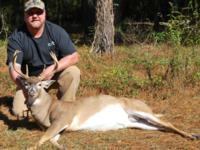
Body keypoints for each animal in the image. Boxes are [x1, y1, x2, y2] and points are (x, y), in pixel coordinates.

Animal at [12, 50, 200, 150]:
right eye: (27, 84)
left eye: (40, 84)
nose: (31, 92)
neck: (47, 109)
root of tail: (145, 104)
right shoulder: (60, 127)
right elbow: (52, 138)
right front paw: (62, 146)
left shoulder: (64, 118)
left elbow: (44, 137)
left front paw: (30, 147)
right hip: (137, 122)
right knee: (161, 127)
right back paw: (191, 134)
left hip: (139, 109)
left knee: (167, 123)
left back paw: (192, 136)